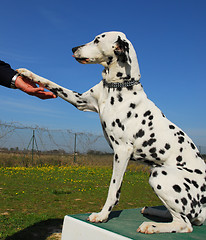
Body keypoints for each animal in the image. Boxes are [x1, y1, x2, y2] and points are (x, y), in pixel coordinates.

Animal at [17, 31, 206, 233]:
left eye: (97, 40)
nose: (73, 48)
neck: (117, 86)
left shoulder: (122, 151)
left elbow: (113, 189)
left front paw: (102, 215)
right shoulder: (80, 101)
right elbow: (52, 83)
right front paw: (27, 73)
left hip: (160, 175)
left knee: (185, 224)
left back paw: (152, 226)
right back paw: (153, 211)